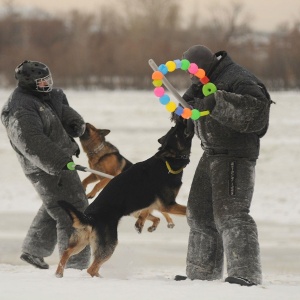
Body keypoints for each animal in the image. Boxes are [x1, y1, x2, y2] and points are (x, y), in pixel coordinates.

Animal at [55, 120, 193, 278]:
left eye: (173, 130)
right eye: (176, 133)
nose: (181, 120)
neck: (166, 162)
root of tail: (89, 217)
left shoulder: (153, 203)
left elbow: (148, 212)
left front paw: (143, 223)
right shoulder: (168, 204)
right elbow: (185, 209)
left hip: (80, 241)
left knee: (66, 253)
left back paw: (59, 273)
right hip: (108, 244)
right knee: (92, 269)